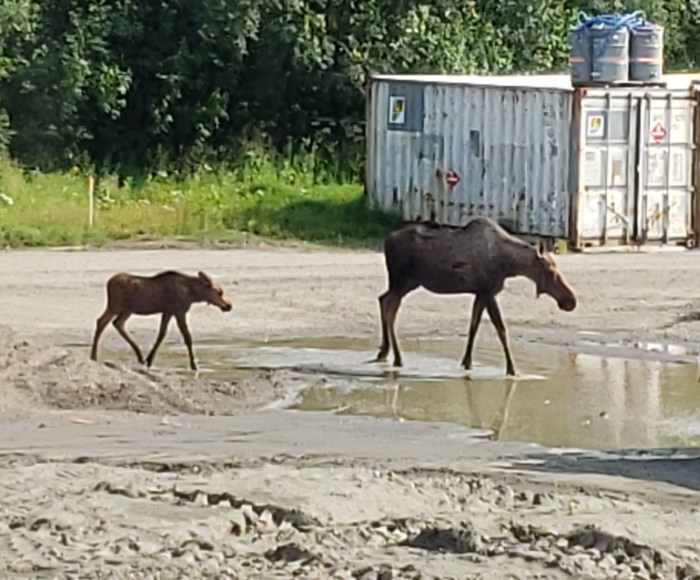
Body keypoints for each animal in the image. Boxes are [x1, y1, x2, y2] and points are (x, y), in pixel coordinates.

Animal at [90, 270, 233, 371]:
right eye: (219, 292)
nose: (229, 305)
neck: (193, 295)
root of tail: (108, 283)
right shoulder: (179, 311)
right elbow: (187, 337)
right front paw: (194, 365)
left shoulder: (168, 312)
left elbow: (161, 335)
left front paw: (149, 360)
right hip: (116, 306)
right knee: (102, 321)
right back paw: (94, 355)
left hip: (126, 309)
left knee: (115, 323)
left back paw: (139, 356)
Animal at [374, 216, 577, 376]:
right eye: (550, 270)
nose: (571, 300)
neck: (510, 265)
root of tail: (386, 240)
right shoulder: (488, 291)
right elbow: (501, 329)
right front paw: (512, 369)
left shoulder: (480, 293)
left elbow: (474, 326)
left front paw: (467, 362)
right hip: (401, 281)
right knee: (390, 310)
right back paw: (397, 358)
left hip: (406, 283)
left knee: (383, 299)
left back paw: (384, 352)